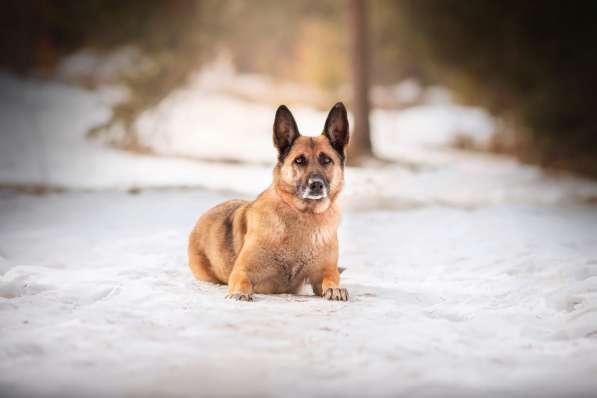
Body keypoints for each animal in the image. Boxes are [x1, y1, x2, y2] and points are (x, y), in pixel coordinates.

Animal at [189, 102, 350, 302]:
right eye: (299, 160)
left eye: (326, 160)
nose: (316, 185)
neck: (304, 216)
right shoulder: (242, 270)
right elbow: (242, 281)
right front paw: (240, 292)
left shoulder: (324, 272)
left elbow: (331, 279)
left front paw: (335, 289)